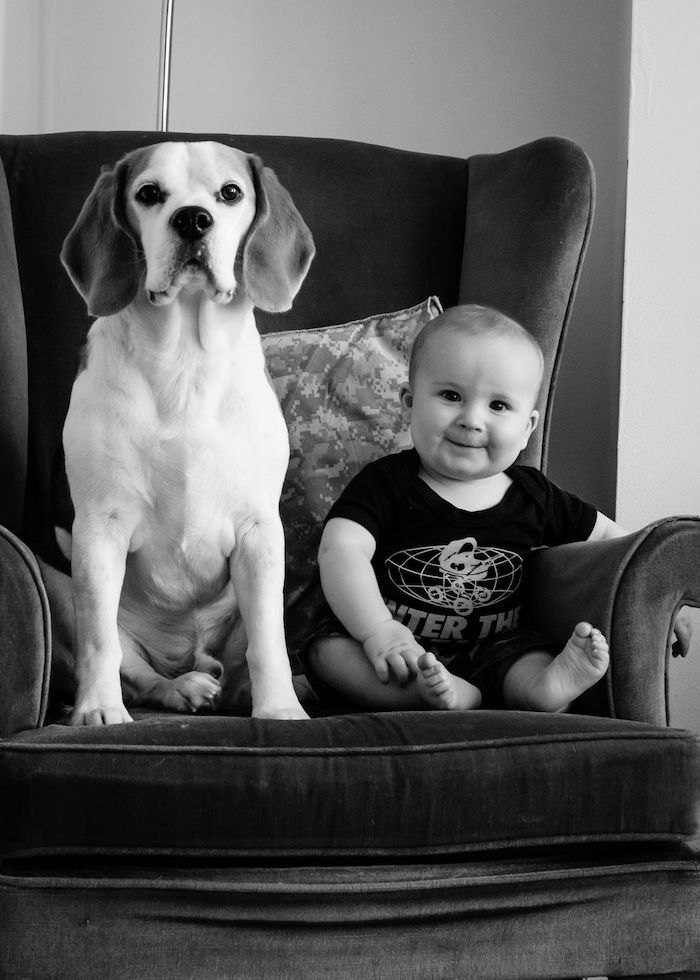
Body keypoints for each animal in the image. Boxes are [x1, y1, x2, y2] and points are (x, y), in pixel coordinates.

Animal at [60, 142, 318, 724]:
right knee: (140, 672)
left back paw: (248, 689)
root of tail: (189, 653)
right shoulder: (99, 528)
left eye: (231, 193)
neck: (184, 361)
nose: (193, 219)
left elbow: (269, 644)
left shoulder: (259, 532)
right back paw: (181, 688)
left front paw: (279, 710)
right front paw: (98, 710)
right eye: (149, 193)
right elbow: (99, 645)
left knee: (245, 654)